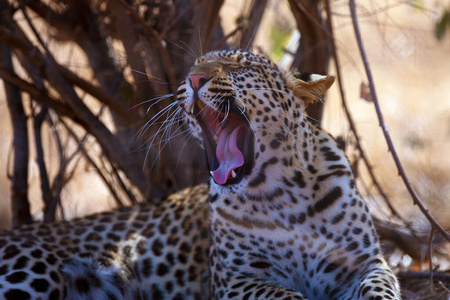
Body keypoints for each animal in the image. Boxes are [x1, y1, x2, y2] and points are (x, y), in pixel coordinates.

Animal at [0, 48, 400, 298]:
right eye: (195, 65)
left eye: (239, 67)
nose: (193, 79)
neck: (285, 193)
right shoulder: (236, 278)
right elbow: (287, 296)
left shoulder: (365, 264)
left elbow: (381, 288)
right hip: (37, 271)